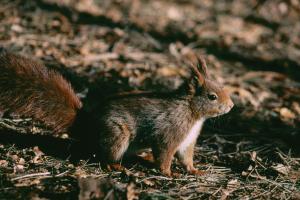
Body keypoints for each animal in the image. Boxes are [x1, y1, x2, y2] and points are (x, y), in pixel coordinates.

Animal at [0, 49, 233, 175]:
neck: (192, 113)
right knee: (105, 156)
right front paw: (168, 172)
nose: (231, 106)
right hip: (117, 135)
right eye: (212, 96)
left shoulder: (188, 140)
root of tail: (88, 127)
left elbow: (186, 157)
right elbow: (164, 154)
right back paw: (116, 166)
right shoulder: (170, 131)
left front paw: (194, 170)